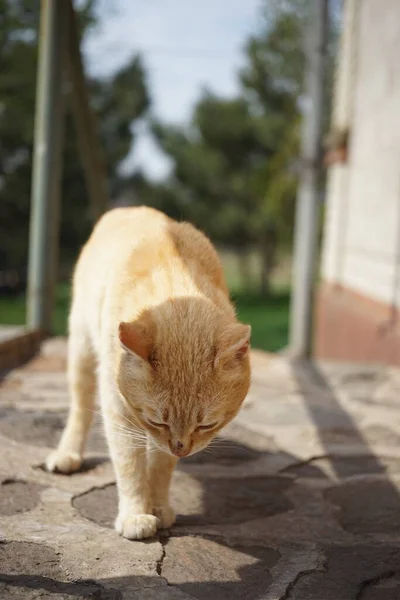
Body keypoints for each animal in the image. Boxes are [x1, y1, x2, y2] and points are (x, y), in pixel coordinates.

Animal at [46, 206, 250, 540]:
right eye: (157, 419)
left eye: (207, 424)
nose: (183, 449)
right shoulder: (120, 414)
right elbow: (130, 466)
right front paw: (135, 515)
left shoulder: (164, 440)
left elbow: (160, 467)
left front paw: (157, 506)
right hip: (81, 350)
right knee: (80, 408)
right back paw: (68, 454)